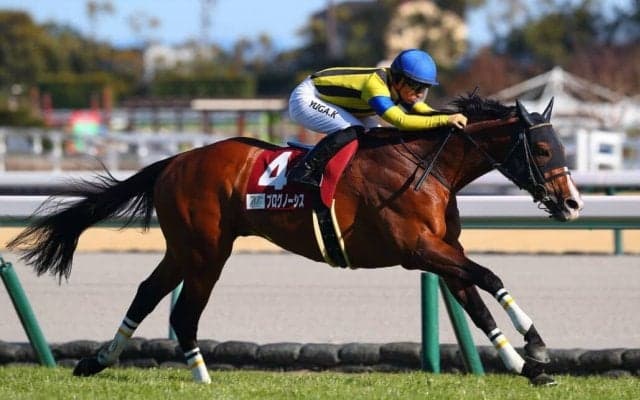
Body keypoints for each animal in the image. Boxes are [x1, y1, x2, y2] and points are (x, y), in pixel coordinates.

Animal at [8, 94, 582, 386]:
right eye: (544, 150)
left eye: (559, 146)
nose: (574, 202)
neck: (425, 166)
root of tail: (176, 160)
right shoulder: (416, 250)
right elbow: (490, 276)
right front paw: (535, 344)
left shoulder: (443, 252)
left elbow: (478, 304)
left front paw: (526, 366)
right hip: (206, 250)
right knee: (184, 310)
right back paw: (201, 375)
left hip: (185, 248)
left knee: (150, 293)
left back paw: (98, 360)